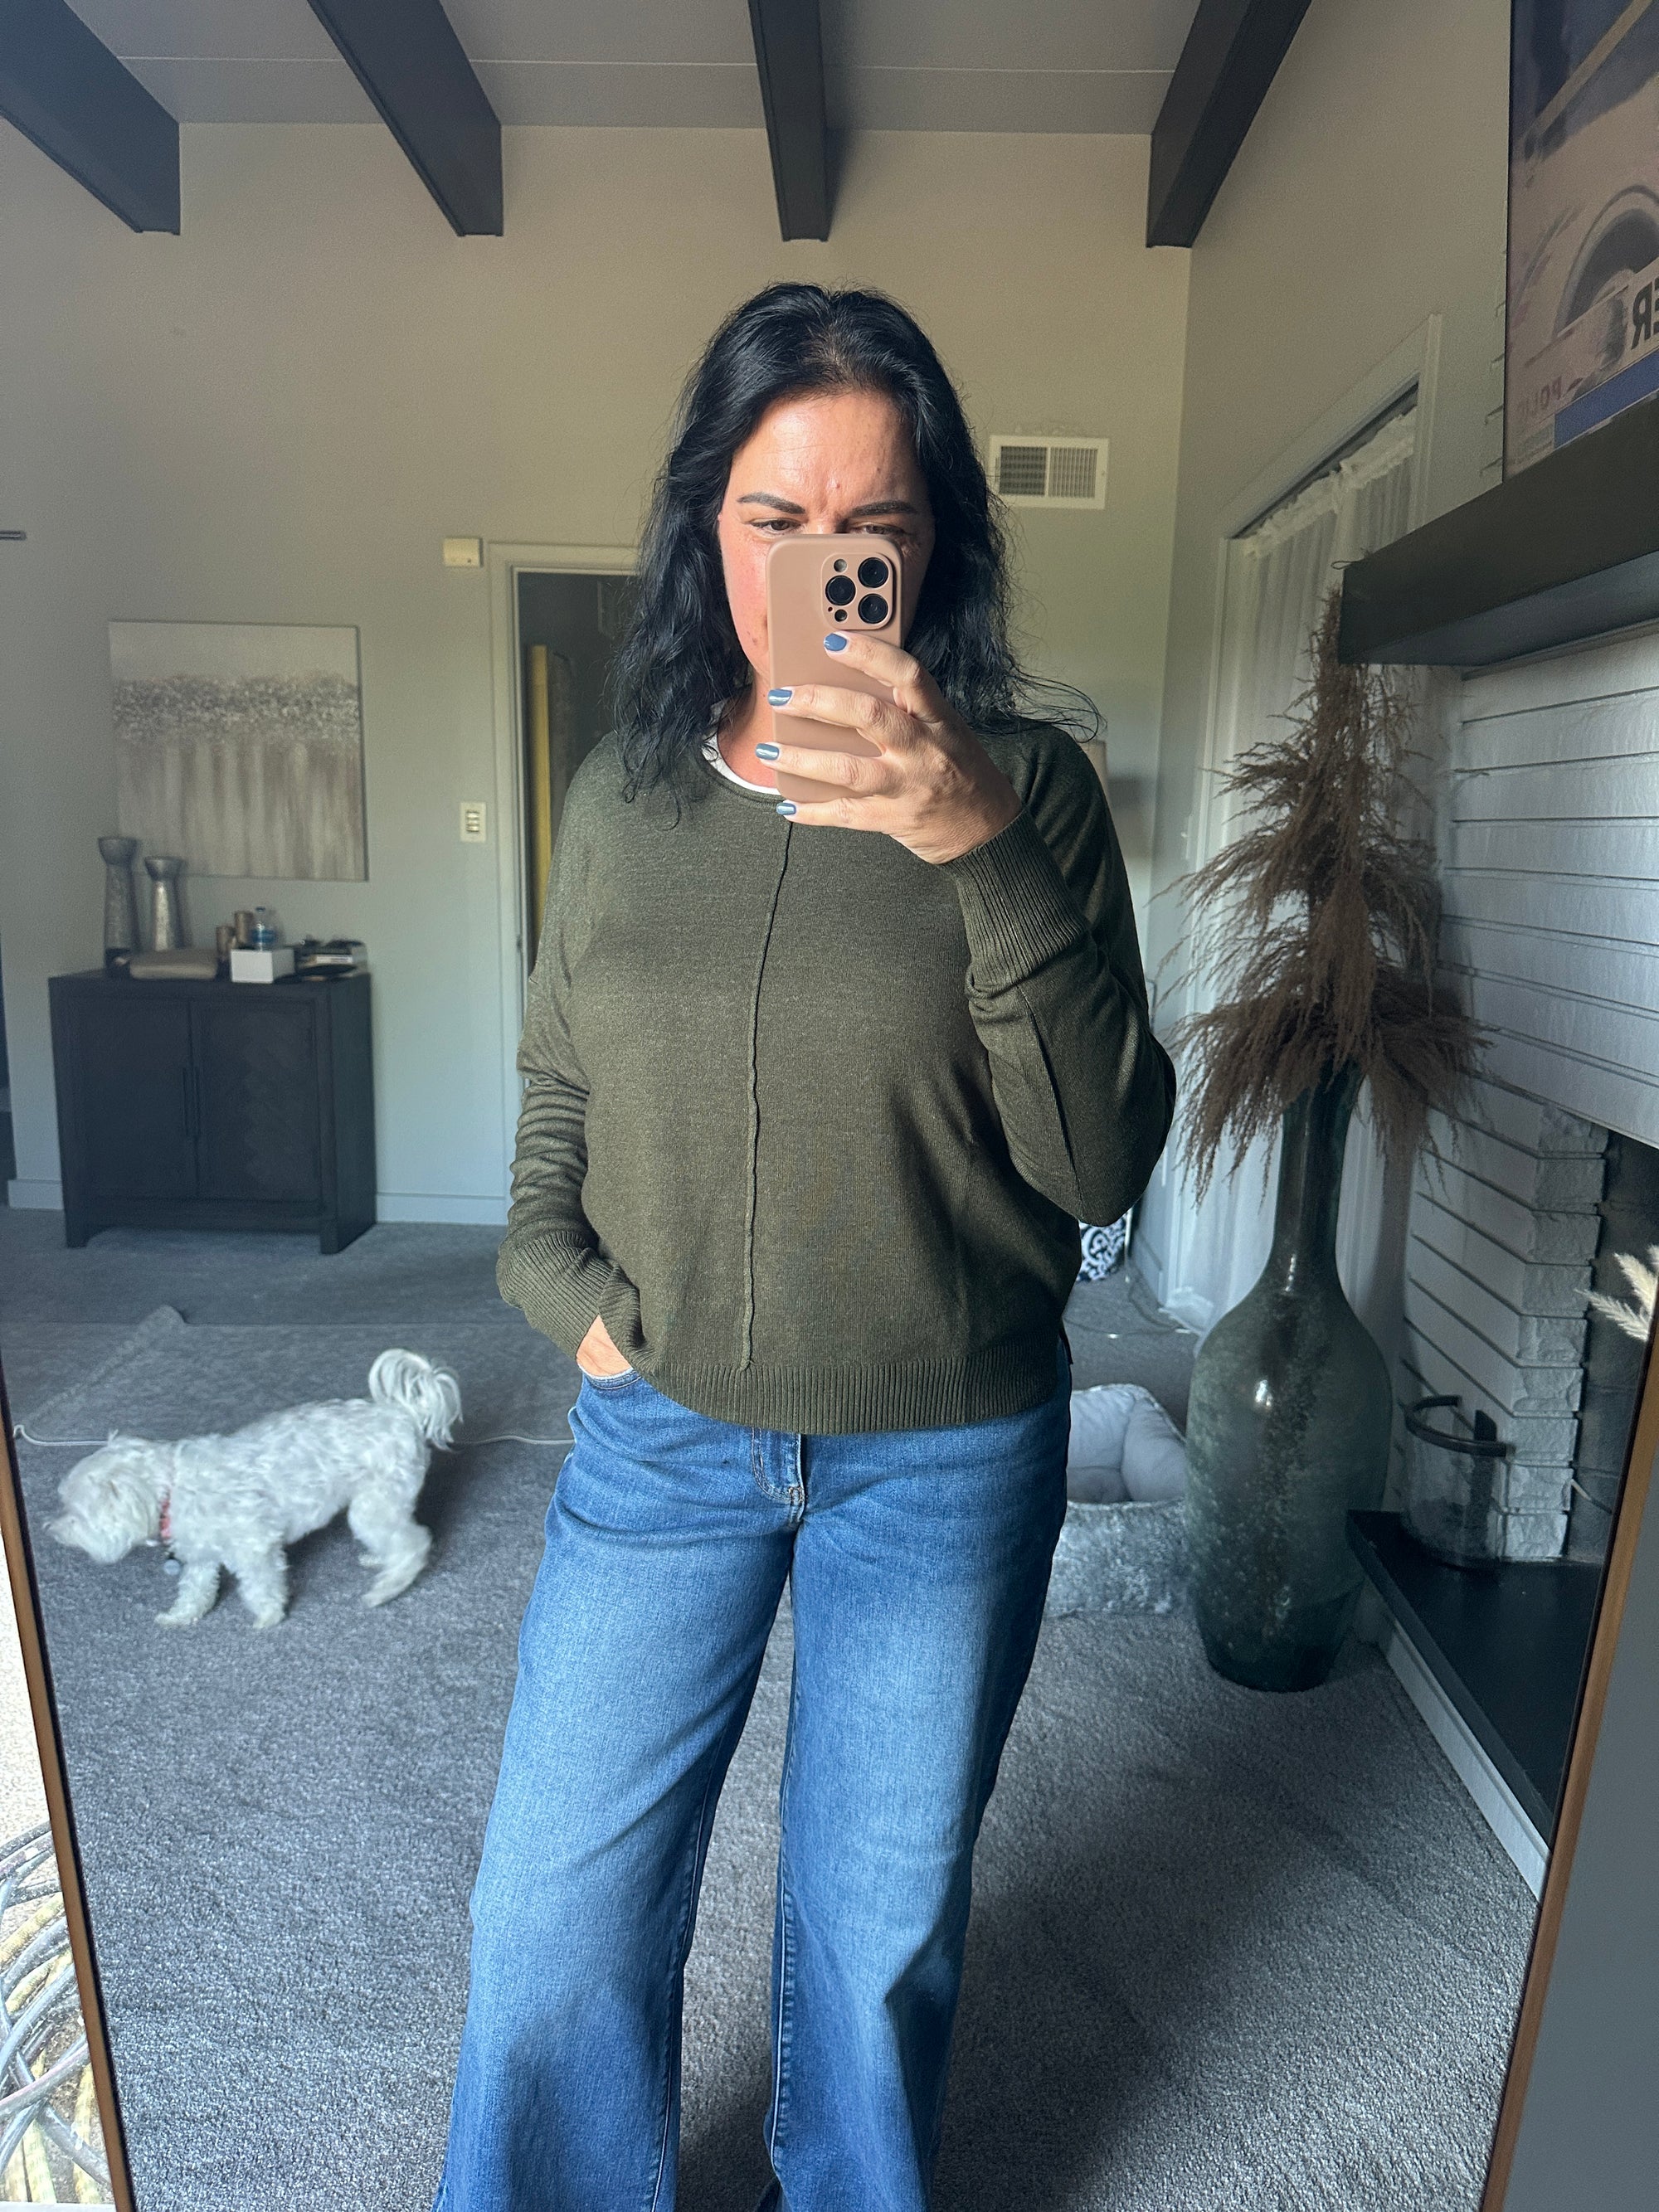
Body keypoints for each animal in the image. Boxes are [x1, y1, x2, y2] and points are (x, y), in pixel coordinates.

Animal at [49, 1351, 460, 1630]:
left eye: (76, 1513)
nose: (50, 1530)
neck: (171, 1488)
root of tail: (403, 1414)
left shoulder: (255, 1547)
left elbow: (261, 1585)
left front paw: (268, 1616)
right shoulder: (200, 1556)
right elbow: (195, 1589)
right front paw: (182, 1616)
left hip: (373, 1507)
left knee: (414, 1544)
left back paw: (387, 1589)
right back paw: (379, 1560)